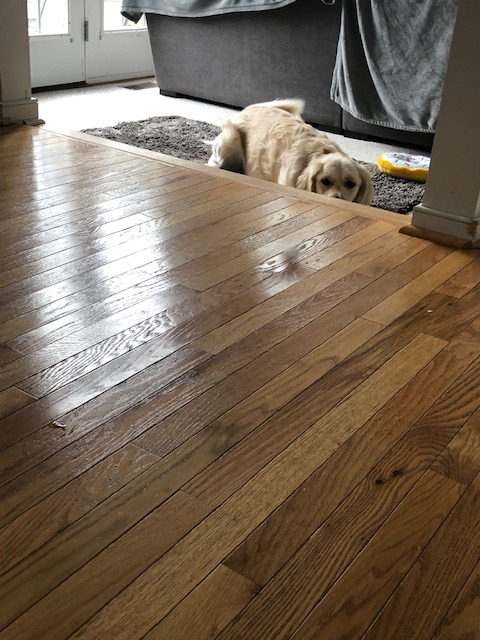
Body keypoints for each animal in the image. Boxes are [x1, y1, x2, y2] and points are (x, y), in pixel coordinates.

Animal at [207, 99, 372, 205]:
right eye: (325, 181)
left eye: (351, 184)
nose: (338, 200)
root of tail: (248, 108)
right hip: (230, 140)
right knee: (213, 161)